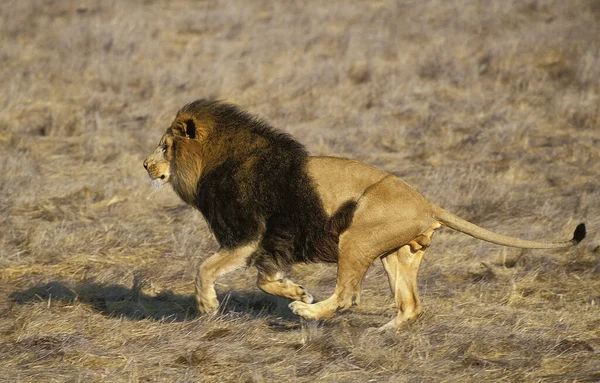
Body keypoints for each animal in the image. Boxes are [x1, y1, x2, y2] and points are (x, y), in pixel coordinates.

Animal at [144, 99, 584, 330]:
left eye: (165, 146)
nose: (145, 165)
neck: (214, 161)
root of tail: (428, 202)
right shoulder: (269, 243)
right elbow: (266, 280)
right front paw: (297, 290)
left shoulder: (248, 235)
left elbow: (205, 269)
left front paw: (207, 306)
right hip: (396, 254)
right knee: (411, 305)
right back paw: (383, 332)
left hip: (354, 239)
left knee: (348, 296)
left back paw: (309, 313)